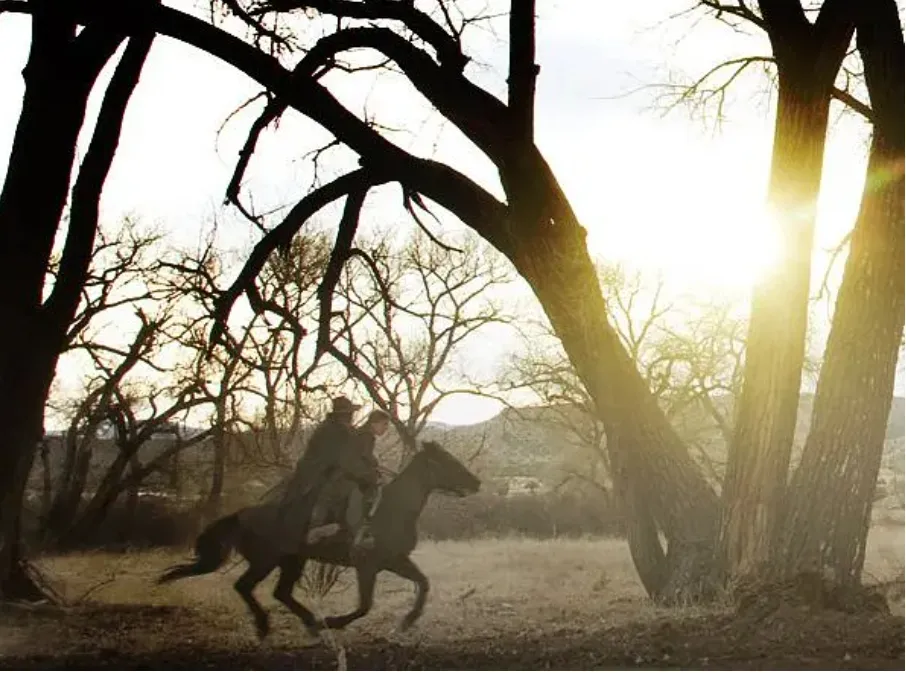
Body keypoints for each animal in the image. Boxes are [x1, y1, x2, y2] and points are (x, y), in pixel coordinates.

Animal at [155, 438, 480, 636]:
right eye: (447, 460)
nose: (476, 482)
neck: (392, 510)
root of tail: (242, 514)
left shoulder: (396, 561)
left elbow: (423, 583)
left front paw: (408, 620)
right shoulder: (367, 565)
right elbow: (365, 605)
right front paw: (337, 622)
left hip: (291, 562)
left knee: (281, 593)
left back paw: (311, 622)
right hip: (266, 561)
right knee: (245, 587)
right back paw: (266, 626)